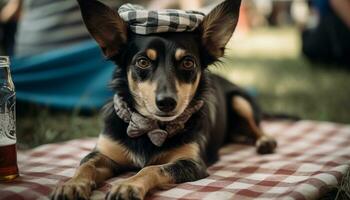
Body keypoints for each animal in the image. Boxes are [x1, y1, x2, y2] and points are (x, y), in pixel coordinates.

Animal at [51, 0, 276, 200]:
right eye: (142, 62)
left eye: (188, 63)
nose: (167, 102)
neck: (149, 127)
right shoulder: (103, 155)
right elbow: (85, 166)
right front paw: (72, 185)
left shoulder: (191, 163)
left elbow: (151, 169)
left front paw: (128, 185)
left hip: (240, 100)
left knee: (256, 127)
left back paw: (265, 141)